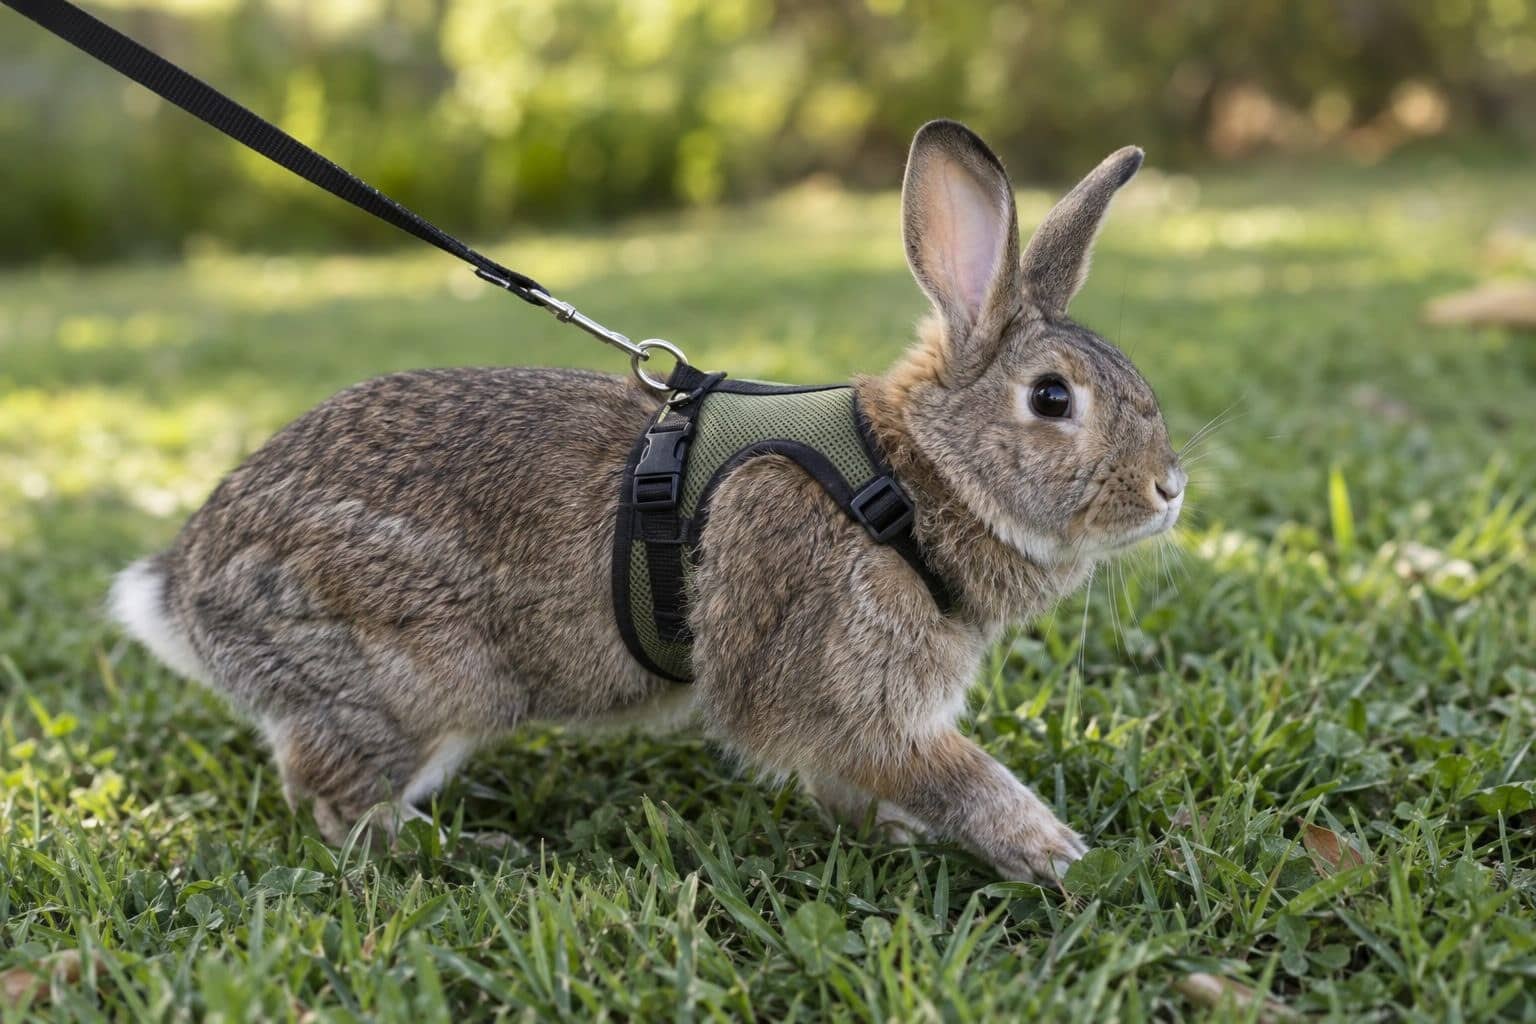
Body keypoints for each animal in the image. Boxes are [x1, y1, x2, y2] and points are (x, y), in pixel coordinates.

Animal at [109, 119, 1184, 881]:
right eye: (1052, 399)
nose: (1169, 488)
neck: (909, 476)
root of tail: (183, 585)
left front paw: (902, 835)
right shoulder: (843, 679)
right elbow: (948, 771)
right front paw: (1051, 852)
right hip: (418, 678)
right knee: (329, 801)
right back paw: (461, 849)